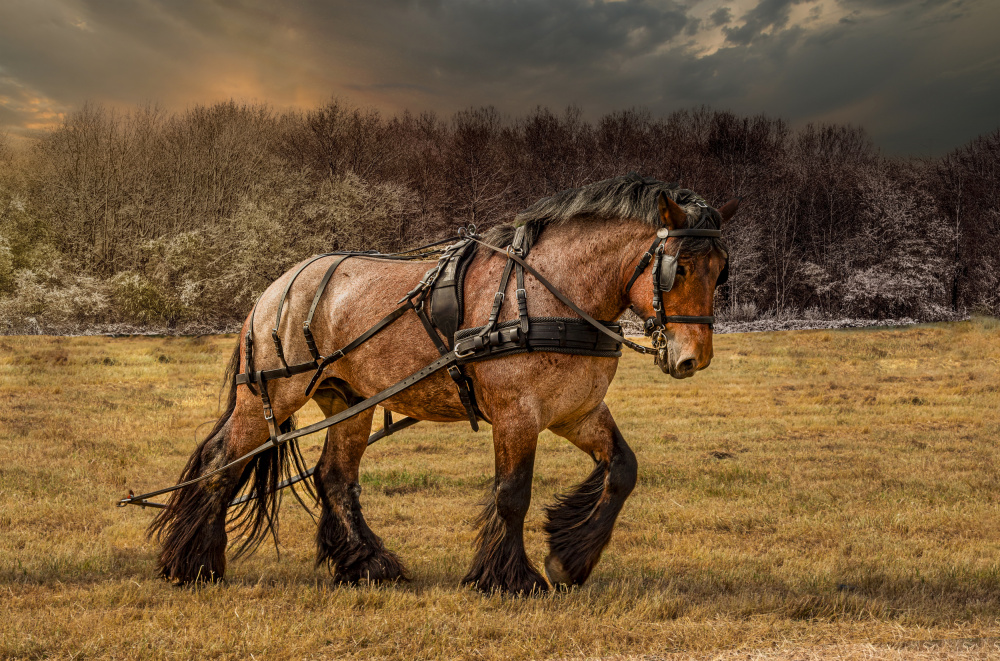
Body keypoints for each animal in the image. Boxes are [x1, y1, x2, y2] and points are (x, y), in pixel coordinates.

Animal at [137, 174, 740, 592]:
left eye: (720, 270)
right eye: (679, 268)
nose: (694, 358)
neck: (548, 293)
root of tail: (276, 287)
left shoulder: (576, 412)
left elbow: (622, 470)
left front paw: (571, 558)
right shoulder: (516, 415)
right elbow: (512, 493)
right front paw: (510, 579)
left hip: (351, 401)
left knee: (334, 478)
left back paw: (369, 565)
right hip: (270, 395)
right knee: (222, 465)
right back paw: (194, 564)